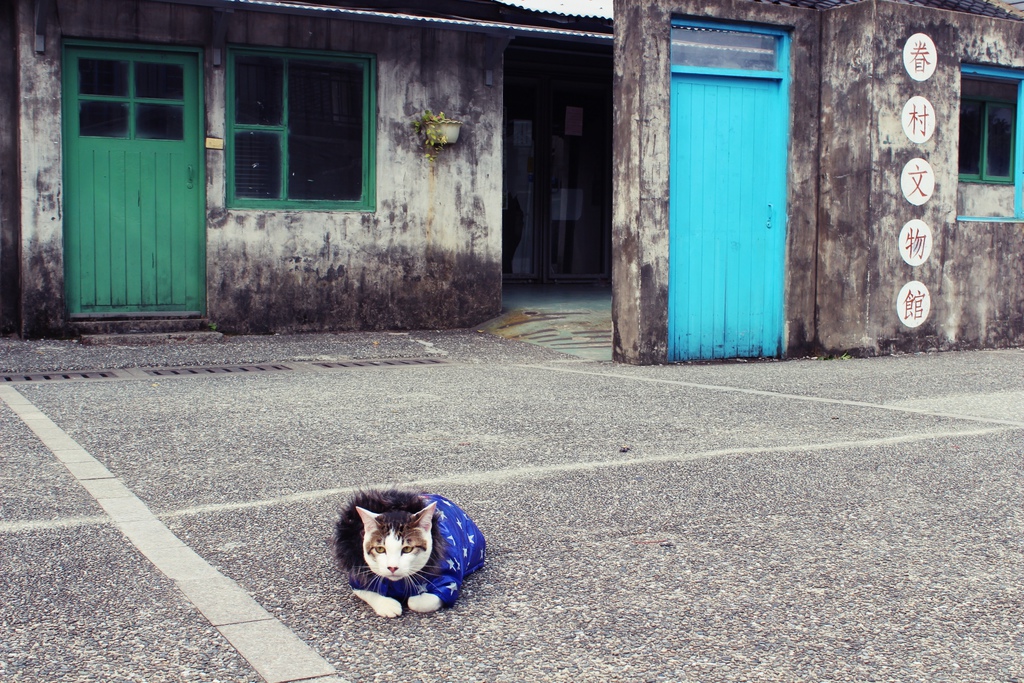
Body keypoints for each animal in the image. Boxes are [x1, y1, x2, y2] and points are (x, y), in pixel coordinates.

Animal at [329, 489, 485, 618]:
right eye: (380, 549)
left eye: (407, 549)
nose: (392, 567)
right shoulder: (358, 575)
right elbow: (367, 591)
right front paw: (387, 605)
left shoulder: (449, 581)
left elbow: (419, 602)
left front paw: (413, 598)